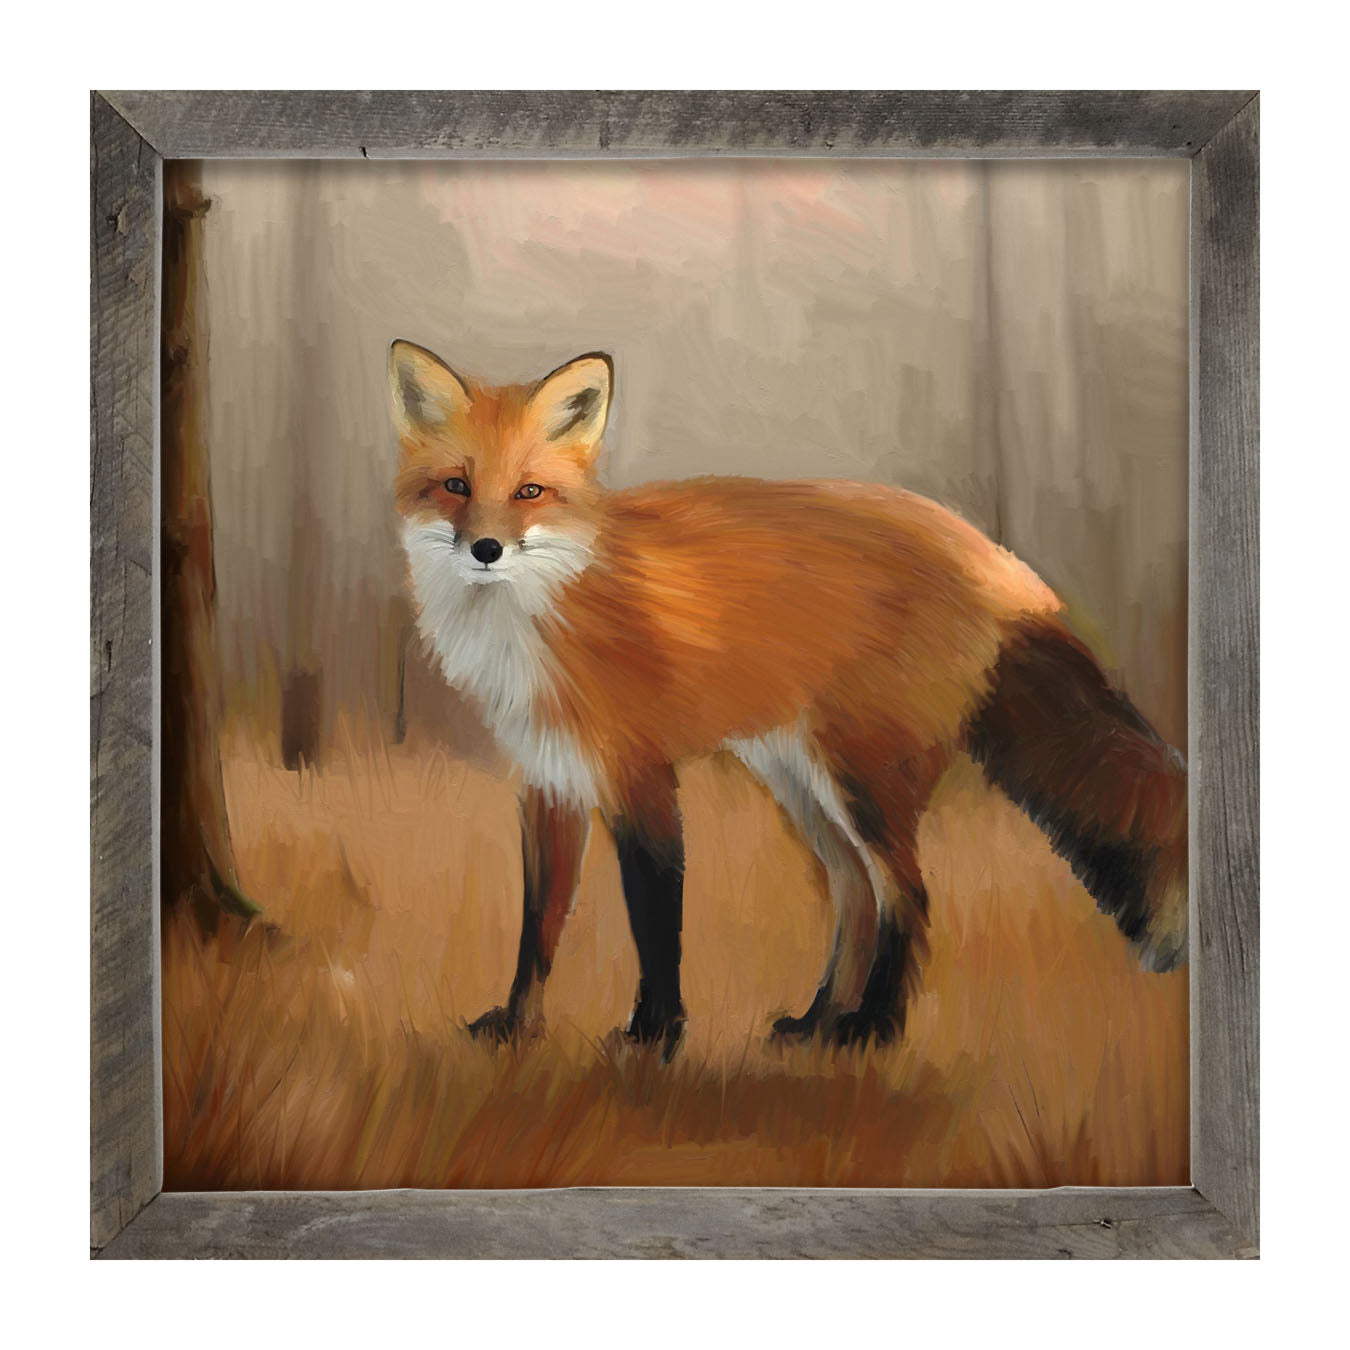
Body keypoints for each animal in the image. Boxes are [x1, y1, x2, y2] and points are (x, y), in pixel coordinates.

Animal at [387, 340, 1189, 1056]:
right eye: (456, 486)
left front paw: (655, 1036)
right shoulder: (549, 782)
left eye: (529, 491)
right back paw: (818, 1022)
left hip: (861, 779)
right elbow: (539, 928)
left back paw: (873, 1031)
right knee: (855, 893)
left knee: (909, 895)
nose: (486, 549)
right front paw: (517, 1029)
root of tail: (995, 558)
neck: (543, 611)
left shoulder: (641, 777)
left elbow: (656, 920)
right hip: (802, 782)